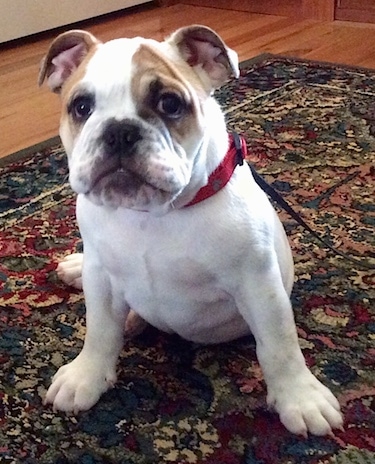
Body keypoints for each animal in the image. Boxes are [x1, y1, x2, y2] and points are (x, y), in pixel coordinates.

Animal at [39, 25, 344, 436]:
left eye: (170, 104)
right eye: (81, 107)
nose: (119, 131)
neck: (152, 213)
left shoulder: (259, 285)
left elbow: (279, 344)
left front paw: (301, 397)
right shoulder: (101, 278)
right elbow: (99, 331)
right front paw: (85, 377)